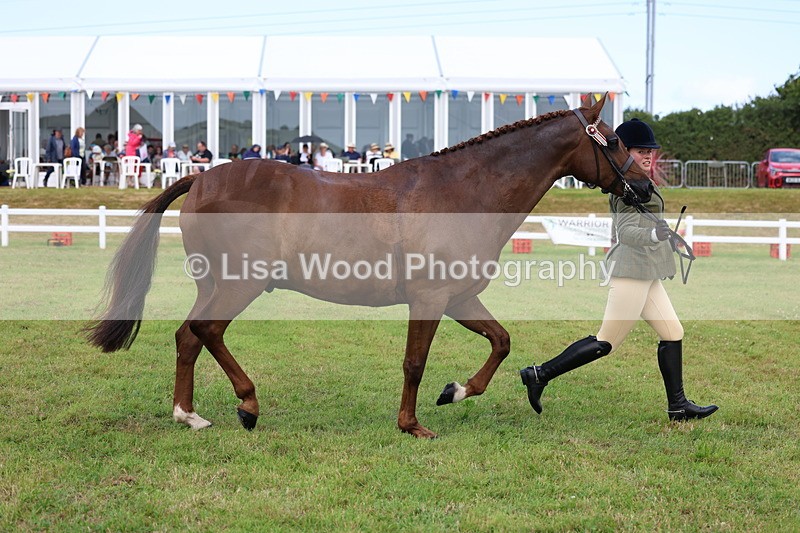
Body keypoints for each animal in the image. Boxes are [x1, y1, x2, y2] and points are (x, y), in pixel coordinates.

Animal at [86, 94, 650, 438]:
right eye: (614, 139)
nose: (644, 188)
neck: (463, 191)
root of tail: (201, 179)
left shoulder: (459, 297)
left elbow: (501, 341)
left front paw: (457, 391)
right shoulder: (428, 298)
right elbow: (414, 362)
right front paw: (412, 424)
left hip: (215, 284)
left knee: (188, 336)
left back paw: (189, 415)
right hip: (238, 285)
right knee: (207, 331)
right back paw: (247, 405)